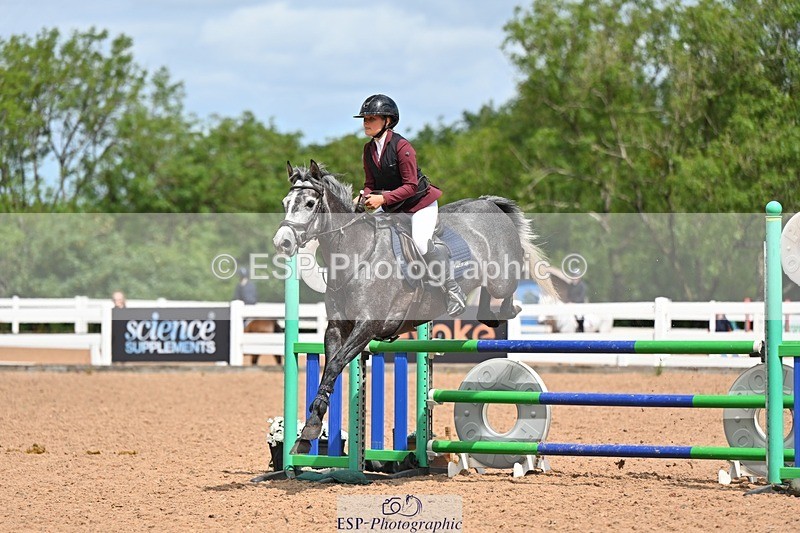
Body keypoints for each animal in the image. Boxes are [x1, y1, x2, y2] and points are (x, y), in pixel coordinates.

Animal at [273, 160, 557, 454]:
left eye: (309, 203)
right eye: (285, 203)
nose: (282, 242)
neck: (356, 254)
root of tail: (488, 203)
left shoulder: (367, 326)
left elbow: (336, 363)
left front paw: (310, 428)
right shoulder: (337, 328)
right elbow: (330, 368)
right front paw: (308, 431)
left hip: (502, 276)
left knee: (509, 281)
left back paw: (505, 311)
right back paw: (486, 315)